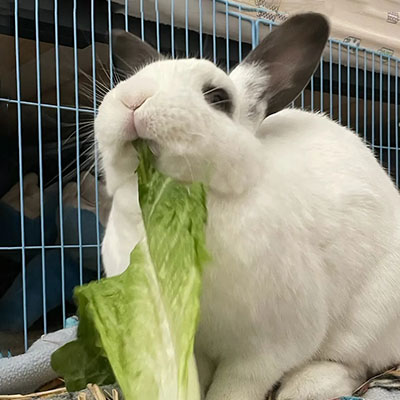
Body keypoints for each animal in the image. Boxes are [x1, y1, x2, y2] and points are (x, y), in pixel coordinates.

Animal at [95, 12, 400, 400]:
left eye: (217, 97)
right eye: (132, 78)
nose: (133, 98)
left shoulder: (265, 349)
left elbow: (235, 388)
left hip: (367, 321)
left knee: (354, 365)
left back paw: (304, 386)